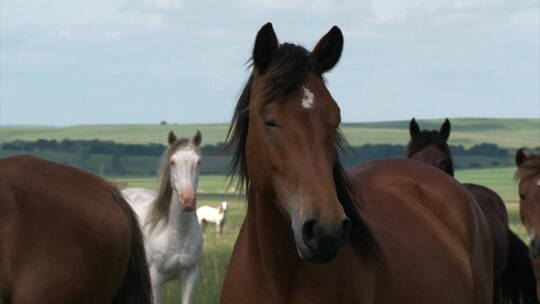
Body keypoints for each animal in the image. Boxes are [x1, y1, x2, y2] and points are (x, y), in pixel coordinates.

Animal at [122, 130, 205, 304]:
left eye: (198, 161)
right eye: (173, 162)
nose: (187, 199)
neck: (176, 232)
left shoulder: (190, 276)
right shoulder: (154, 280)